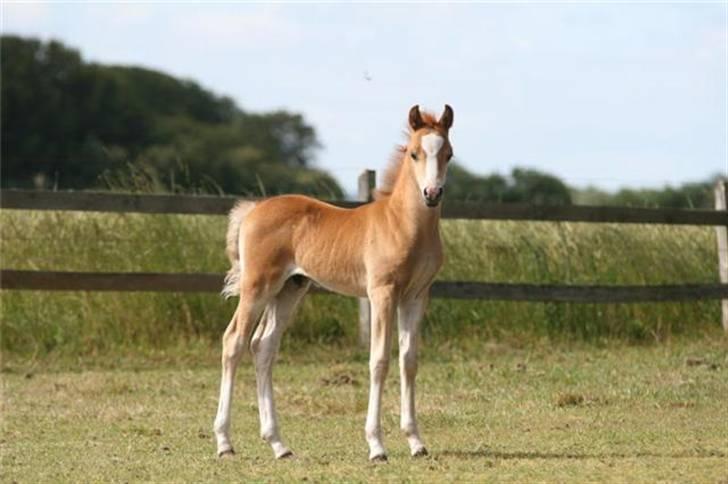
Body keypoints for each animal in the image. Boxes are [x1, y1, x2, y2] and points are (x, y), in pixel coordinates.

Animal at [210, 105, 458, 462]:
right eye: (414, 153)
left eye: (449, 154)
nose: (432, 194)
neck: (402, 224)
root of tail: (254, 209)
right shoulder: (382, 293)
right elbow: (379, 361)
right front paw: (376, 446)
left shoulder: (416, 296)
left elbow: (409, 361)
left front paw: (415, 442)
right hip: (257, 286)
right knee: (234, 342)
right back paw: (225, 442)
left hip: (290, 288)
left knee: (263, 346)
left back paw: (279, 445)